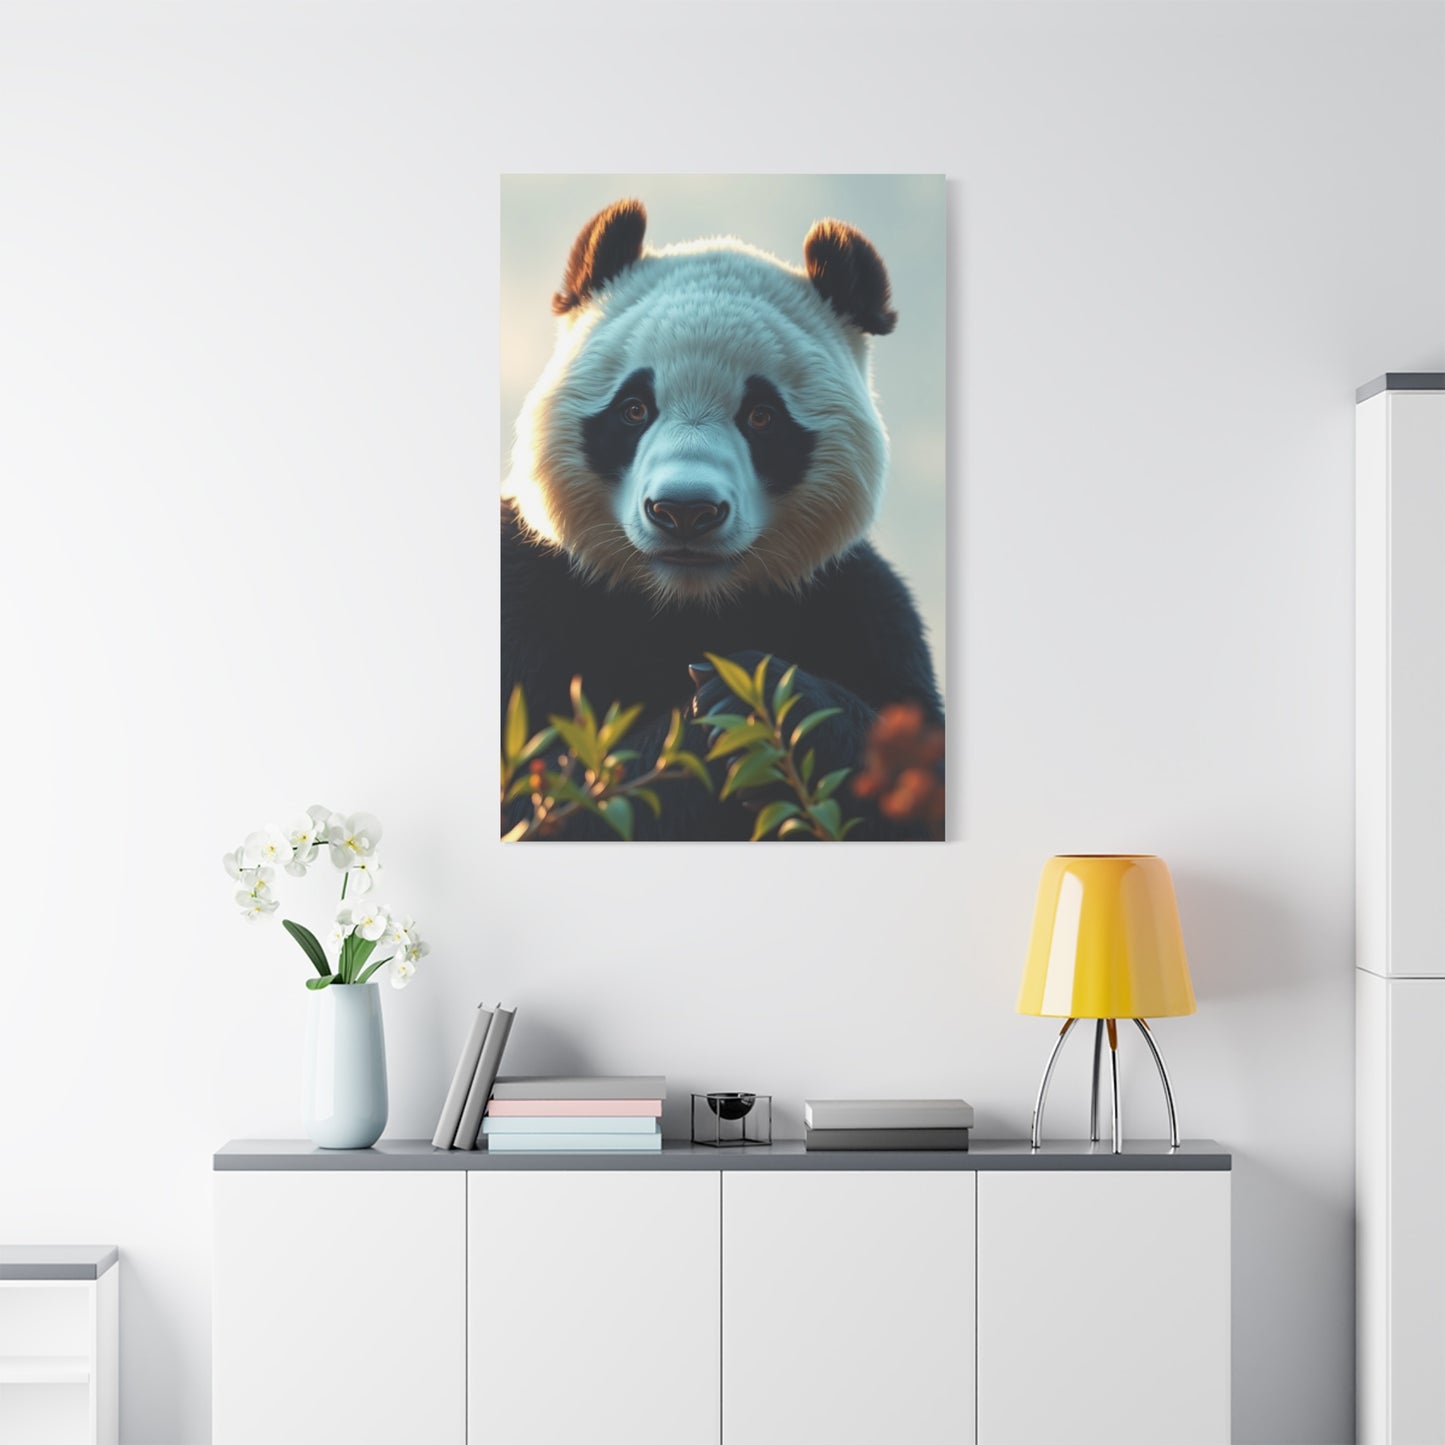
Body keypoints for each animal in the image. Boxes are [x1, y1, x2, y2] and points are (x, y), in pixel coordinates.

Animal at [502, 198, 943, 840]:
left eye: (761, 417)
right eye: (633, 409)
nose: (685, 511)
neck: (687, 604)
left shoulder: (859, 607)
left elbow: (914, 779)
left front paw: (755, 697)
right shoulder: (531, 593)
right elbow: (544, 800)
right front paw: (706, 723)